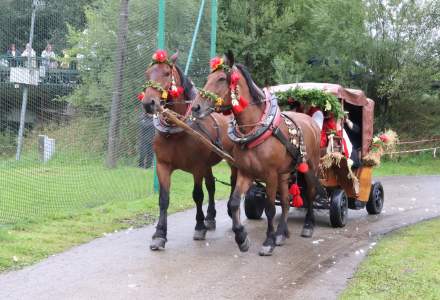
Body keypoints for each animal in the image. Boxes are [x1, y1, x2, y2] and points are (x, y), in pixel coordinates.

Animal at [143, 50, 235, 250]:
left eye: (166, 73)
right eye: (148, 74)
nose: (148, 103)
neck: (176, 128)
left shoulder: (197, 167)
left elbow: (197, 195)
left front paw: (199, 227)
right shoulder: (163, 166)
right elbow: (163, 199)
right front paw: (159, 234)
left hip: (232, 161)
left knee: (233, 181)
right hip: (209, 164)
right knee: (212, 185)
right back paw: (210, 218)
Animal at [192, 51, 324, 255]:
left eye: (221, 78)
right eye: (207, 78)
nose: (196, 107)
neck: (255, 129)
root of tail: (312, 121)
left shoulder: (270, 175)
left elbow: (269, 208)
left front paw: (268, 241)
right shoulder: (246, 172)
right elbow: (234, 202)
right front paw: (241, 237)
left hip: (310, 167)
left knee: (310, 194)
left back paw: (308, 226)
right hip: (284, 173)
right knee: (286, 201)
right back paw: (282, 233)